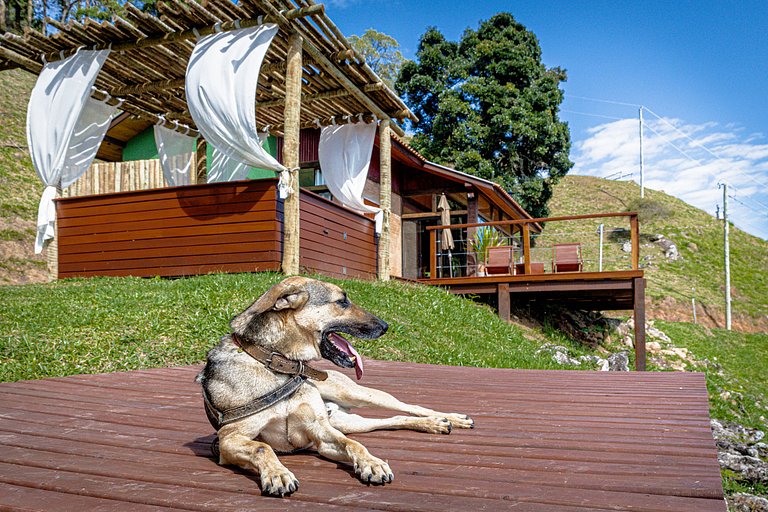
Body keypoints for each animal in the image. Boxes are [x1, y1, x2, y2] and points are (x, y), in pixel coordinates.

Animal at [196, 276, 474, 496]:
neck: (280, 364)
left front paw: (372, 463)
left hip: (357, 395)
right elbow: (263, 447)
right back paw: (433, 424)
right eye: (342, 301)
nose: (386, 326)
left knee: (408, 406)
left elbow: (353, 445)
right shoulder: (229, 440)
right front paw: (278, 474)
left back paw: (447, 418)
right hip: (350, 422)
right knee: (392, 419)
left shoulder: (320, 430)